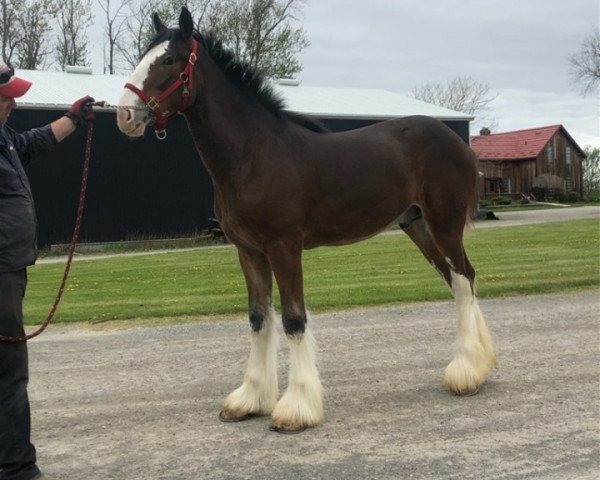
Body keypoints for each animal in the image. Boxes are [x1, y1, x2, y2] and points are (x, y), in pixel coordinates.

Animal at [116, 6, 496, 436]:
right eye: (143, 57)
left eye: (168, 60)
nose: (125, 115)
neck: (253, 154)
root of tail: (456, 141)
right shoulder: (248, 251)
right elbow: (259, 318)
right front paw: (251, 399)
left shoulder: (284, 247)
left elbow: (294, 320)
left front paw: (295, 408)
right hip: (417, 226)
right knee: (459, 280)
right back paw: (478, 366)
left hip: (444, 223)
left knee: (463, 281)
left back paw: (466, 372)